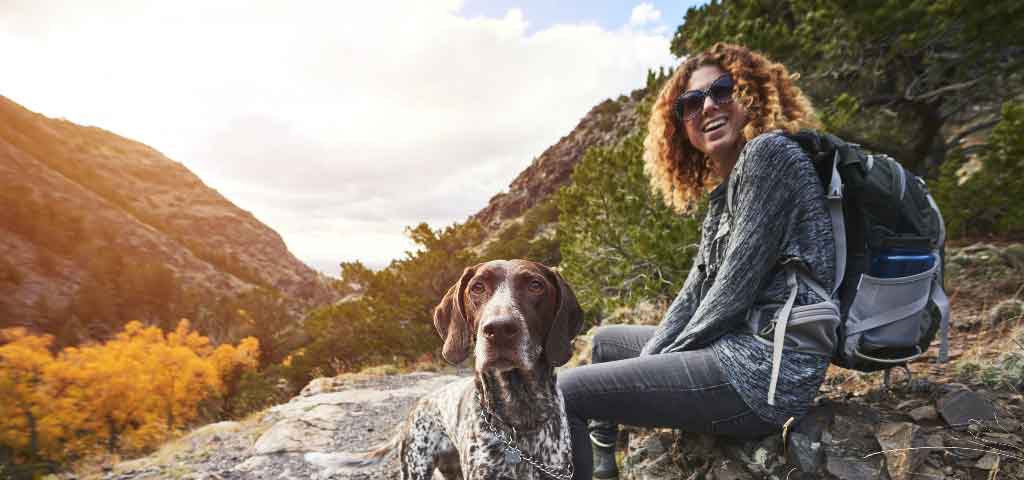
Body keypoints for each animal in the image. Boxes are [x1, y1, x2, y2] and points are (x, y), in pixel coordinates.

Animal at [307, 259, 585, 478]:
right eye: (477, 287)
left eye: (535, 285)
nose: (499, 329)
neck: (519, 418)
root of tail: (416, 408)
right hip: (416, 467)